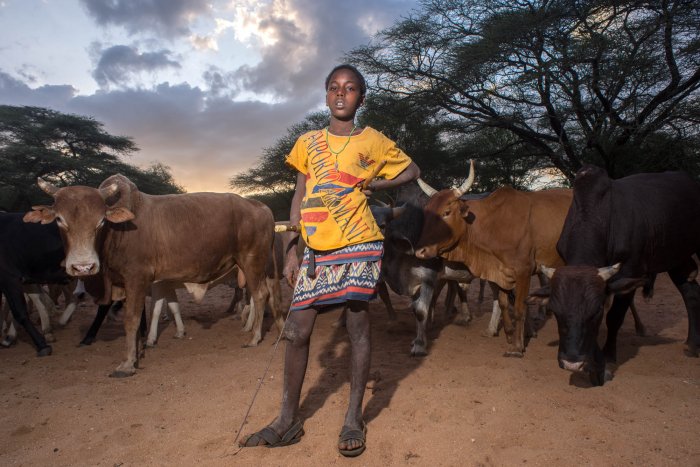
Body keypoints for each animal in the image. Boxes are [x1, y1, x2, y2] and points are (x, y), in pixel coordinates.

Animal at [24, 175, 282, 376]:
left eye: (101, 221)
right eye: (59, 219)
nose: (83, 267)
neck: (118, 232)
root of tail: (261, 206)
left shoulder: (136, 278)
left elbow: (132, 319)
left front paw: (128, 363)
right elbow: (149, 316)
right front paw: (142, 348)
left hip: (251, 261)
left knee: (260, 295)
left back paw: (254, 337)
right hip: (263, 266)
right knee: (270, 294)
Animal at [412, 163, 572, 356]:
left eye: (446, 212)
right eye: (427, 212)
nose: (420, 251)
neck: (493, 224)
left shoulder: (524, 271)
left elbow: (519, 308)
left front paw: (517, 347)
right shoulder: (500, 272)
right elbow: (502, 303)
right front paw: (509, 333)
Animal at [532, 166, 700, 386]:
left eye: (595, 311)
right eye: (555, 310)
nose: (572, 363)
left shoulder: (629, 274)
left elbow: (614, 318)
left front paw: (608, 359)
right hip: (677, 258)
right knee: (691, 293)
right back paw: (692, 344)